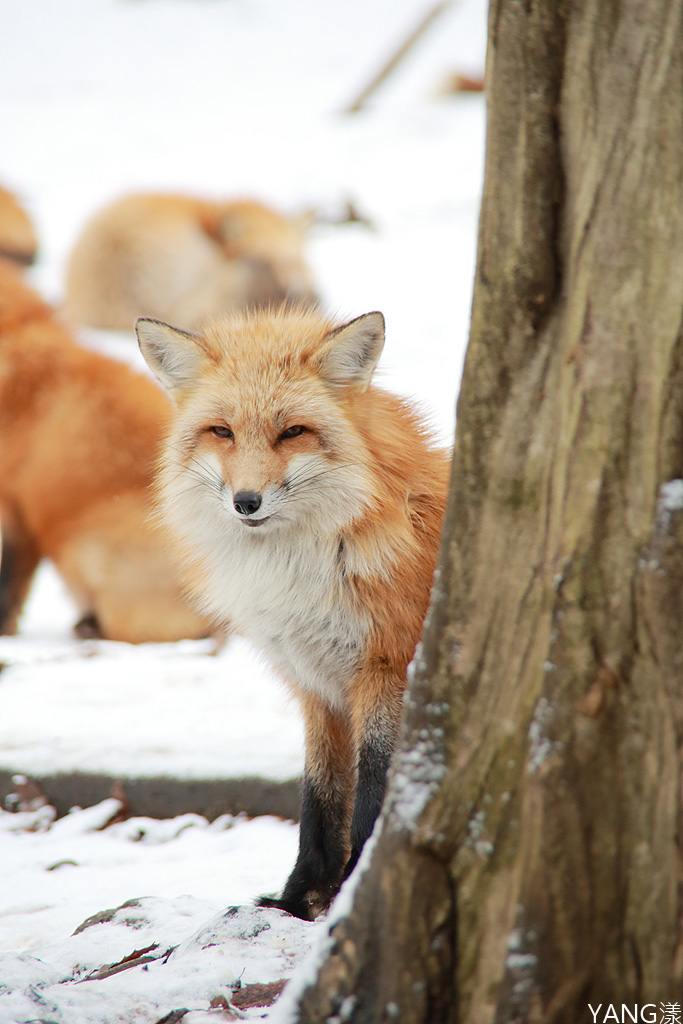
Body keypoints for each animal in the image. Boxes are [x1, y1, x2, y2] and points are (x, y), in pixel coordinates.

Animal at [137, 305, 450, 921]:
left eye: (292, 432)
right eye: (223, 431)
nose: (246, 502)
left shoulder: (386, 670)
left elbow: (373, 787)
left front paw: (350, 890)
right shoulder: (317, 684)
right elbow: (320, 796)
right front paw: (297, 898)